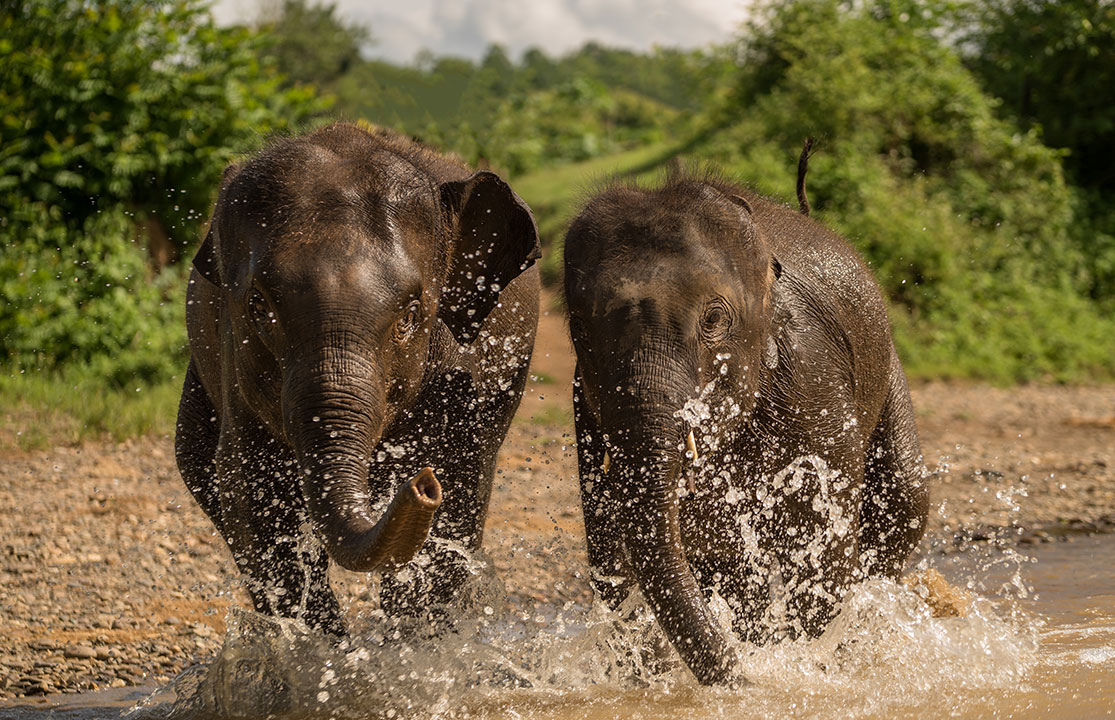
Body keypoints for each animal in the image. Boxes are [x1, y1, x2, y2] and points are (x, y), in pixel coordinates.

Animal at [175, 122, 540, 638]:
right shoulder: (234, 367)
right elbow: (253, 501)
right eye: (258, 306)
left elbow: (453, 510)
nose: (422, 485)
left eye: (411, 315)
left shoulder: (472, 379)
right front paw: (322, 652)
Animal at [563, 170, 928, 685]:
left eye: (714, 318)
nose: (747, 682)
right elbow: (612, 549)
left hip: (888, 369)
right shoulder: (585, 408)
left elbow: (819, 549)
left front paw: (805, 663)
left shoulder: (812, 381)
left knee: (906, 497)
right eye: (579, 326)